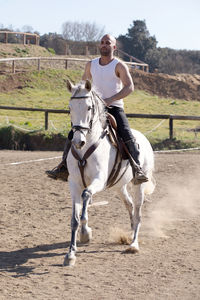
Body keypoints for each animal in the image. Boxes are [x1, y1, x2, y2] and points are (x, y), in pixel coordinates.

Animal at [63, 79, 155, 268]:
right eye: (70, 107)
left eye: (89, 107)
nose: (77, 141)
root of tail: (143, 138)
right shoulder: (74, 183)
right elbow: (75, 218)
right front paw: (71, 254)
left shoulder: (98, 180)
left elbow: (86, 196)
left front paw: (85, 233)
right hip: (119, 186)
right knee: (129, 206)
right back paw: (129, 234)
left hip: (139, 185)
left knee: (138, 212)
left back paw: (134, 244)